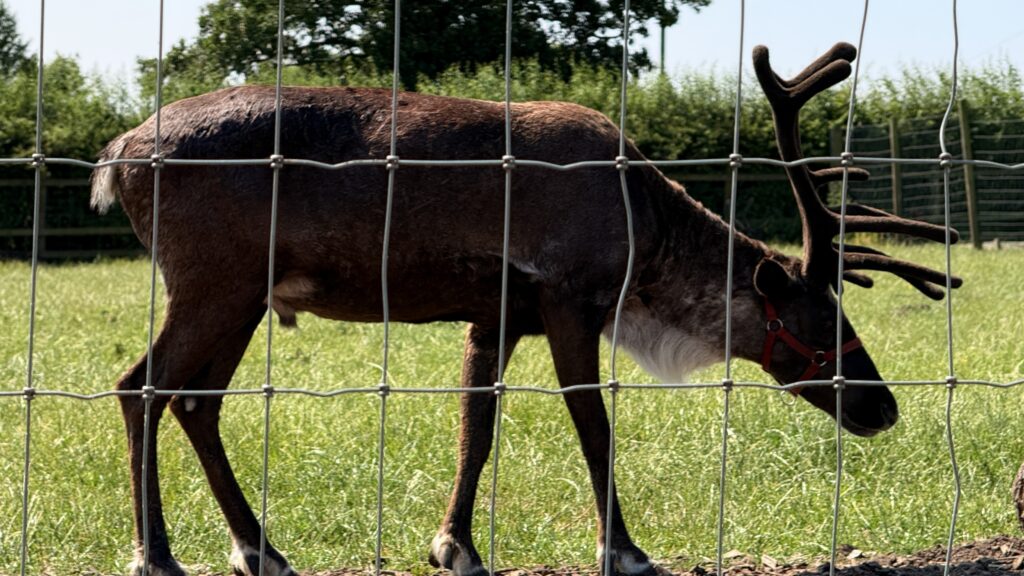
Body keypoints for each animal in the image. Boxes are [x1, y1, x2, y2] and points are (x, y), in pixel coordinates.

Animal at [90, 42, 960, 576]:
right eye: (824, 321)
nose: (882, 408)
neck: (645, 235)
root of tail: (116, 154)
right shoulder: (570, 297)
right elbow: (593, 424)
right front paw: (626, 551)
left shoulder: (499, 312)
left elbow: (476, 424)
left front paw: (454, 545)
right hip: (213, 280)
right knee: (141, 386)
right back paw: (157, 554)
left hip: (243, 295)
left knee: (197, 400)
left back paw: (259, 549)